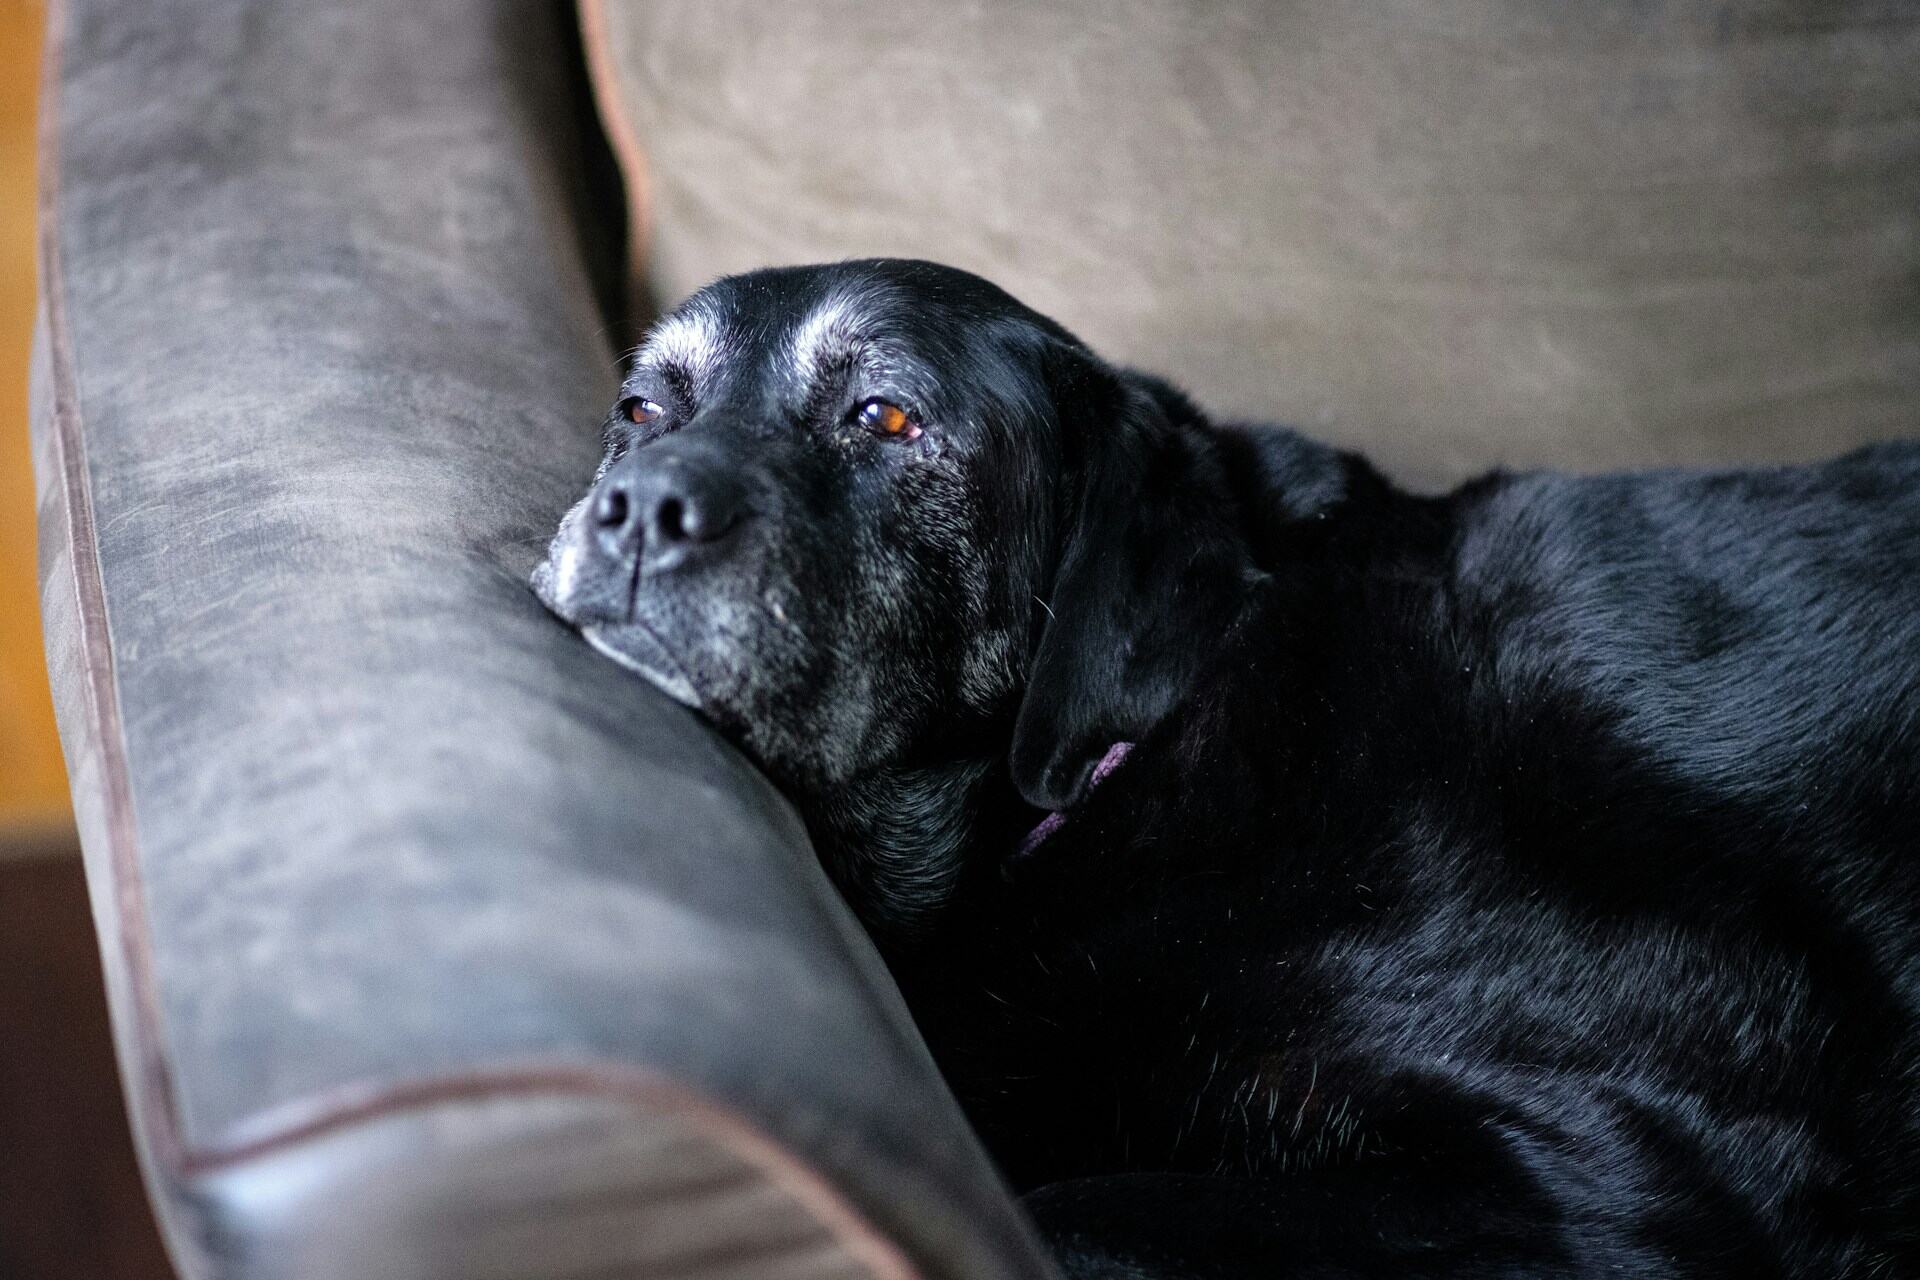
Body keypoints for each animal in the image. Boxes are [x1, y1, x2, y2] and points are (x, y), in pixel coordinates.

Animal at [537, 255, 1920, 1274]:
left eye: (884, 414)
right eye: (642, 409)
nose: (638, 507)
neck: (1138, 763)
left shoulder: (1615, 1171)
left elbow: (1070, 1213)